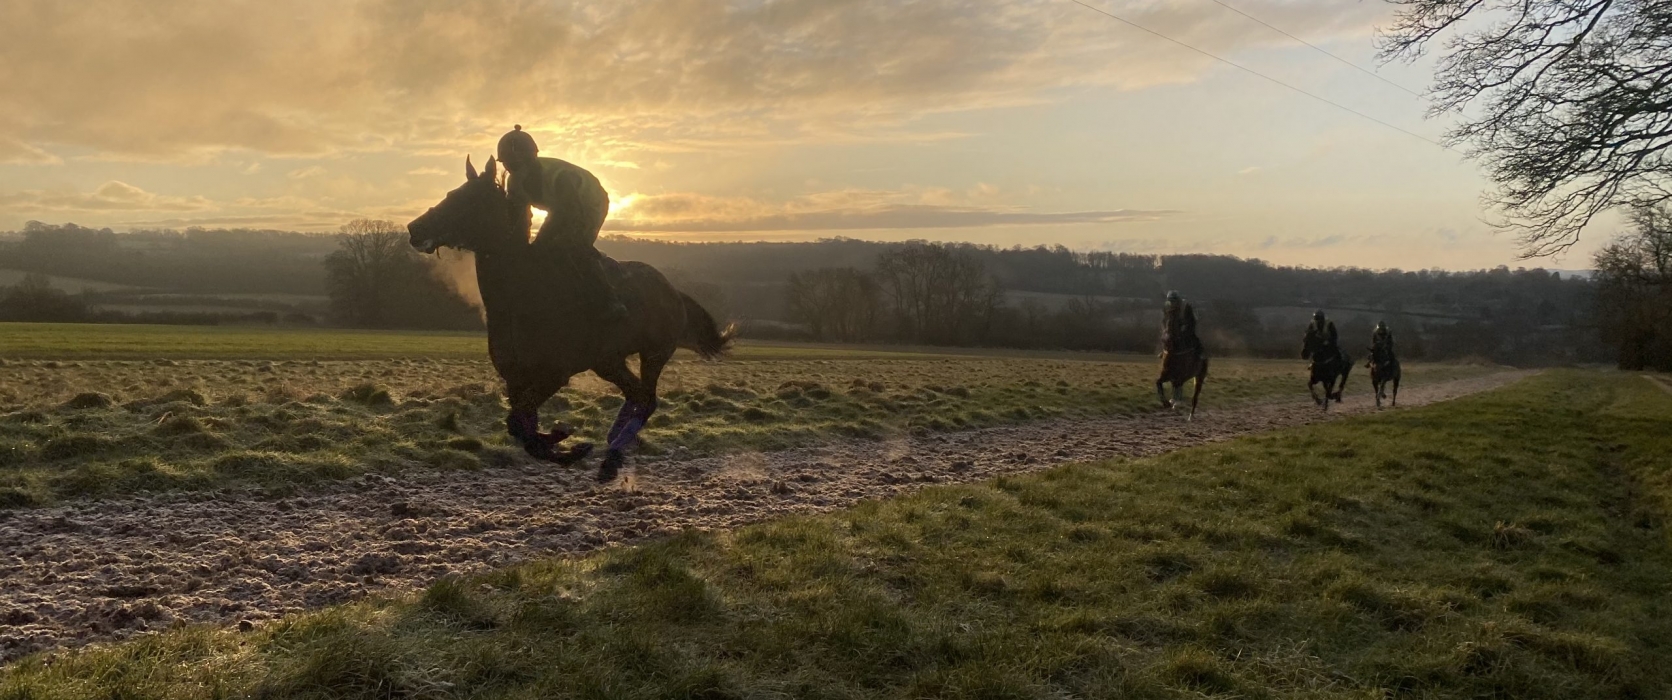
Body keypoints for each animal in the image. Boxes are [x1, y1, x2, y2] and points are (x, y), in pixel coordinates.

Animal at [407, 156, 734, 482]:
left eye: (469, 200)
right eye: (451, 193)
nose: (414, 228)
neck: (520, 295)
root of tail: (672, 290)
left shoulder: (554, 373)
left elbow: (522, 426)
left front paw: (566, 441)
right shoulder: (515, 377)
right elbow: (520, 427)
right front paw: (559, 440)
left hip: (654, 353)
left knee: (647, 400)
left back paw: (612, 454)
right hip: (608, 362)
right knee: (636, 395)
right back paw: (611, 447)